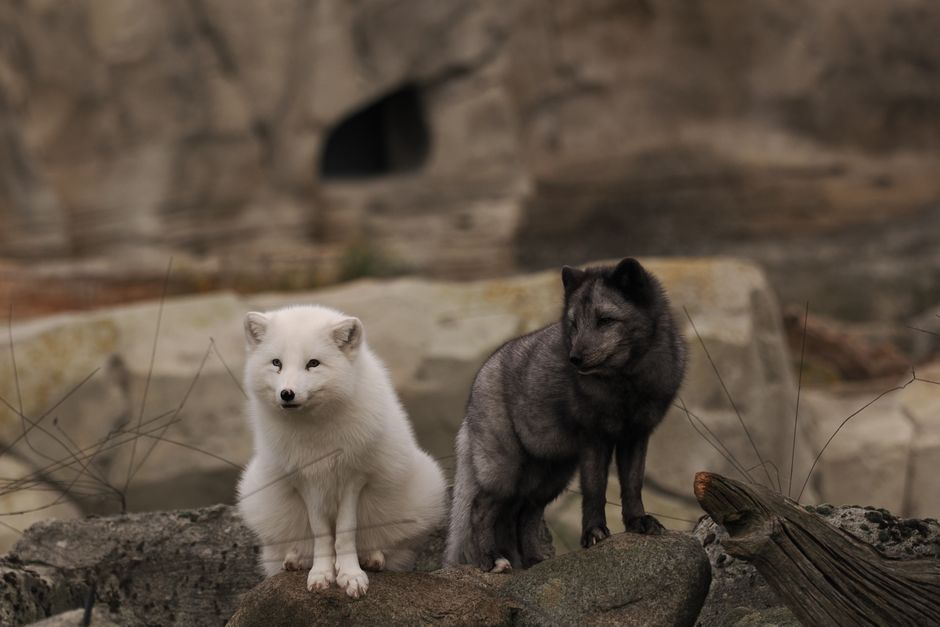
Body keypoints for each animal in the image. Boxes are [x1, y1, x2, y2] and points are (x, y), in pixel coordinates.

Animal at [236, 305, 447, 598]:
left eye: (313, 363)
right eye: (276, 363)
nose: (287, 394)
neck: (316, 434)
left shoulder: (354, 477)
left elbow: (346, 532)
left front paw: (350, 575)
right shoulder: (306, 481)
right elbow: (321, 534)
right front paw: (322, 574)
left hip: (427, 486)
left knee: (390, 549)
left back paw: (373, 558)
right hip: (255, 494)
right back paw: (295, 559)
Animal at [445, 258, 686, 571]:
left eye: (605, 320)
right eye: (573, 324)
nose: (574, 359)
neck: (625, 384)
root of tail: (479, 379)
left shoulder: (636, 434)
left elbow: (633, 484)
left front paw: (638, 522)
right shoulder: (595, 437)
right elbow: (595, 489)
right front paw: (594, 533)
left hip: (550, 475)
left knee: (523, 514)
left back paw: (533, 561)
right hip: (506, 471)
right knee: (481, 509)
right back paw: (492, 560)